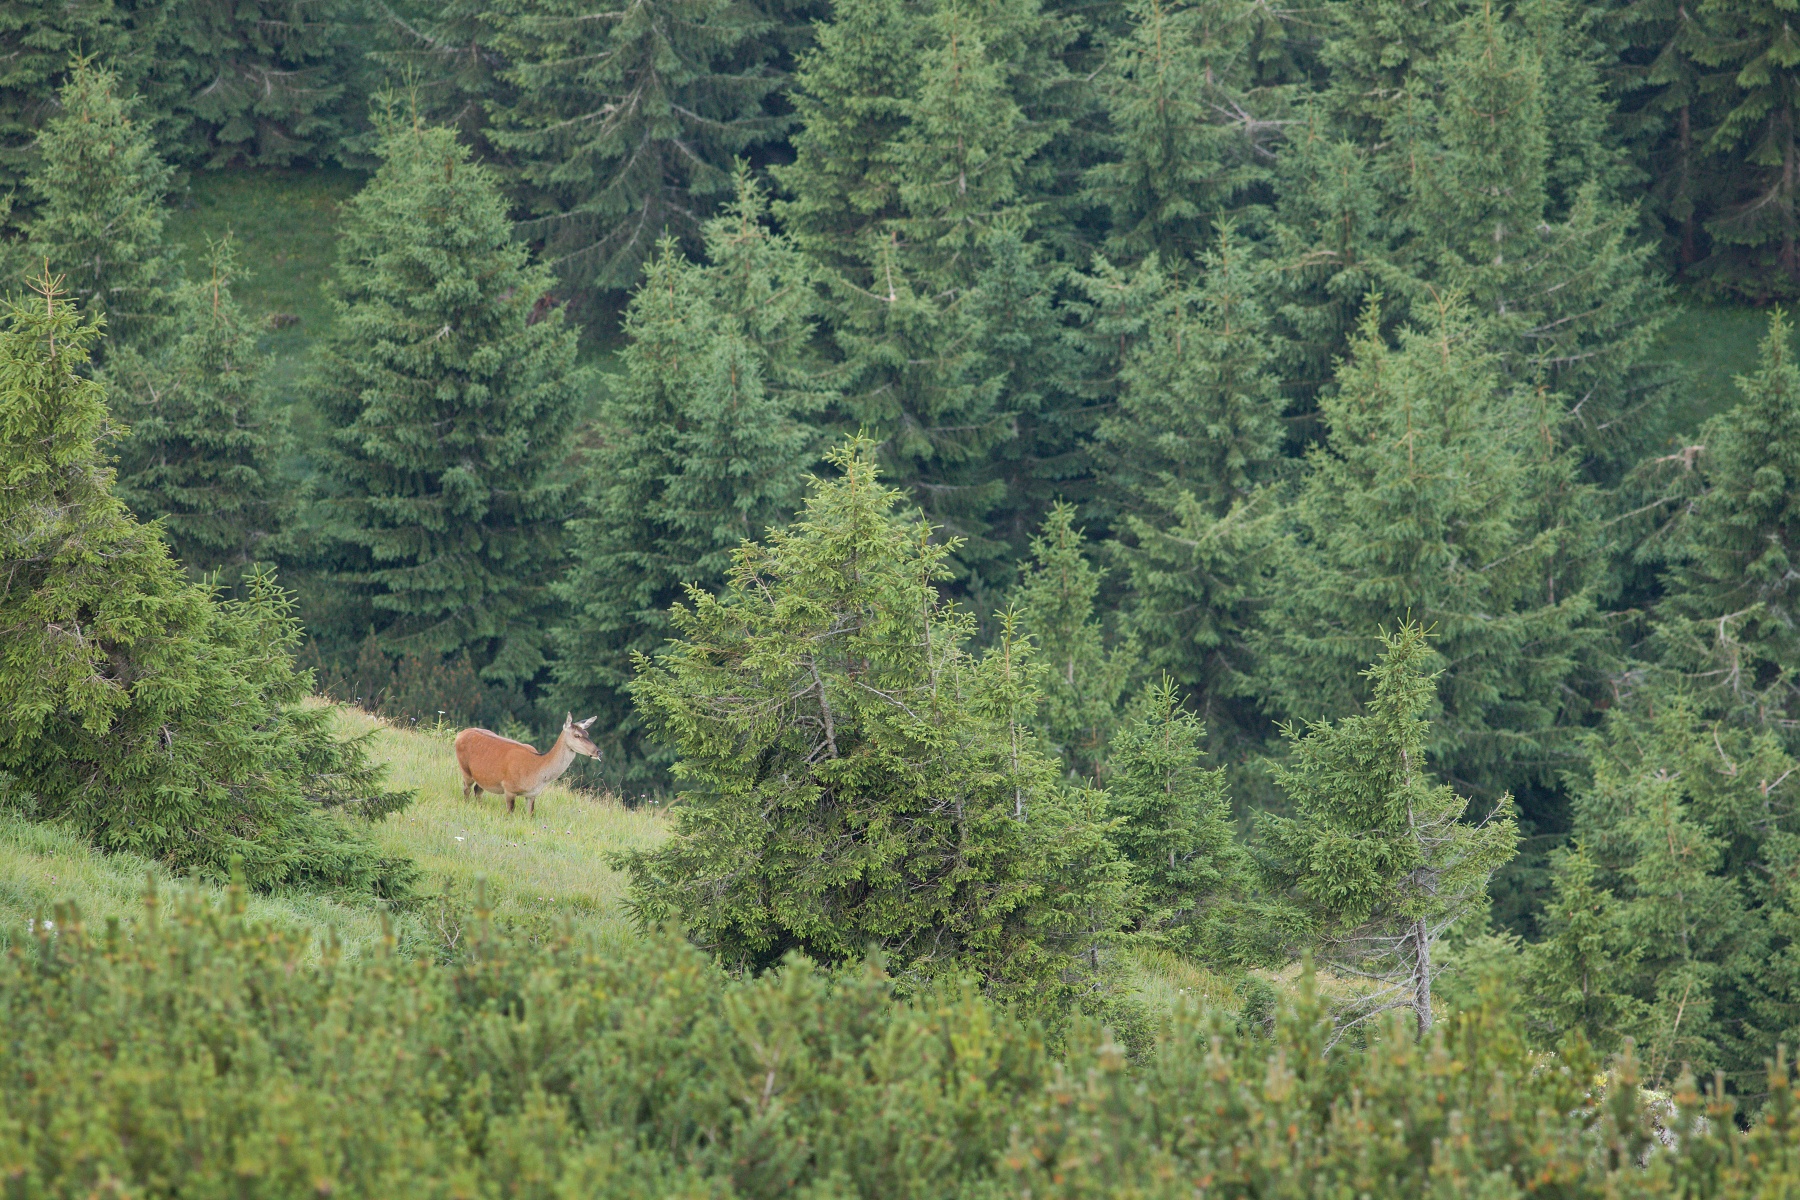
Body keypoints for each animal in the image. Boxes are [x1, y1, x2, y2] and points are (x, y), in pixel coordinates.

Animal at [453, 712, 601, 816]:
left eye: (587, 733)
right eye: (577, 735)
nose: (598, 752)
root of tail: (460, 734)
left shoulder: (532, 795)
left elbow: (530, 814)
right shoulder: (509, 788)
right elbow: (510, 813)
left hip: (483, 777)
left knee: (478, 790)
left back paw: (480, 807)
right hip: (465, 769)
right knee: (466, 789)